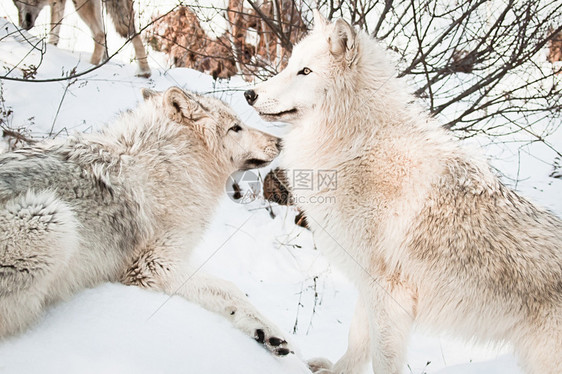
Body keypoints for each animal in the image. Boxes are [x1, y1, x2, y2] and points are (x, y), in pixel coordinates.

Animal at [0, 86, 288, 356]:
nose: (281, 142)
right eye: (235, 127)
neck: (173, 161)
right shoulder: (152, 264)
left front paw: (263, 333)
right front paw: (272, 331)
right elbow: (231, 288)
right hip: (50, 216)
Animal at [13, 0, 152, 76]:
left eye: (16, 5)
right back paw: (144, 71)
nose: (22, 26)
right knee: (134, 33)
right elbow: (55, 34)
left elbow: (53, 30)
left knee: (100, 34)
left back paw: (90, 67)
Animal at [244, 10, 560, 374]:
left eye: (305, 72)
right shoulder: (368, 286)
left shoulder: (389, 294)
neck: (358, 145)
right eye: (290, 65)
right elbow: (356, 343)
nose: (249, 94)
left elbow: (383, 359)